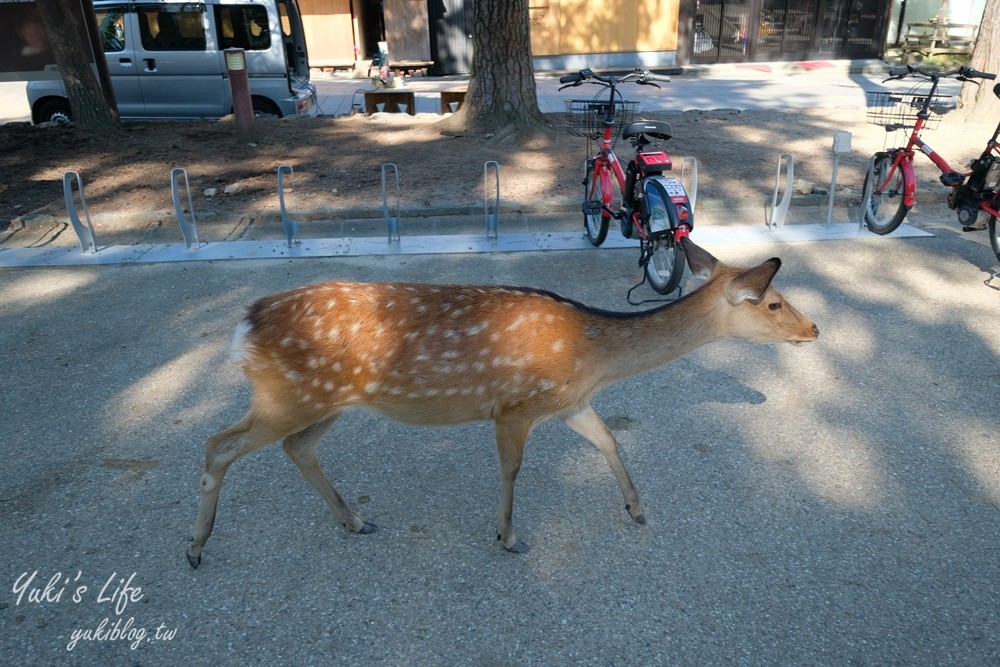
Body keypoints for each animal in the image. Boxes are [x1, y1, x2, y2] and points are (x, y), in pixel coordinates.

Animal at [184, 237, 816, 568]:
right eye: (774, 303)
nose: (813, 329)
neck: (593, 356)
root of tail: (244, 326)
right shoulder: (516, 405)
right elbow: (512, 468)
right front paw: (508, 536)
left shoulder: (568, 401)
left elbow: (610, 439)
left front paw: (637, 509)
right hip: (288, 394)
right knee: (218, 444)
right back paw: (195, 546)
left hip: (324, 399)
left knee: (296, 447)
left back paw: (356, 520)